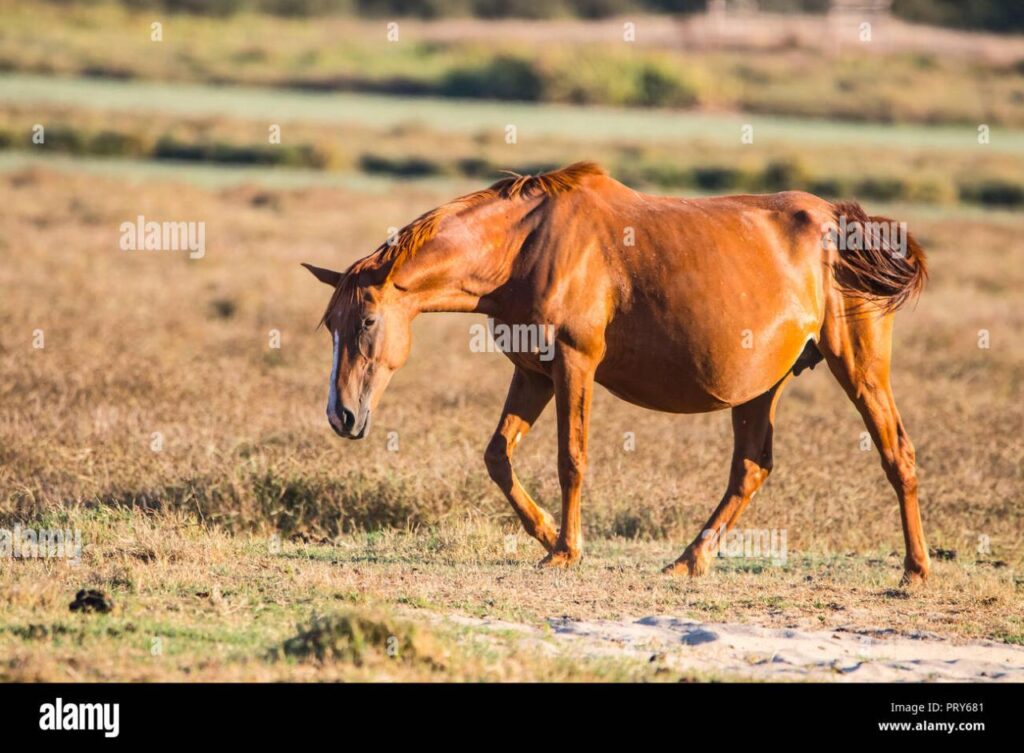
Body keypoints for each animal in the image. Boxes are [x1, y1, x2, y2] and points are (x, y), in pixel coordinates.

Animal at [303, 161, 930, 584]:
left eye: (366, 321)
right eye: (330, 324)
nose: (343, 415)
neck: (527, 246)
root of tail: (845, 224)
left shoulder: (574, 364)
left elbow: (571, 460)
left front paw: (565, 549)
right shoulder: (533, 373)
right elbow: (498, 456)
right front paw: (543, 532)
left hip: (860, 368)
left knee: (896, 454)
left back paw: (915, 570)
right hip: (763, 387)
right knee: (751, 469)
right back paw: (689, 560)